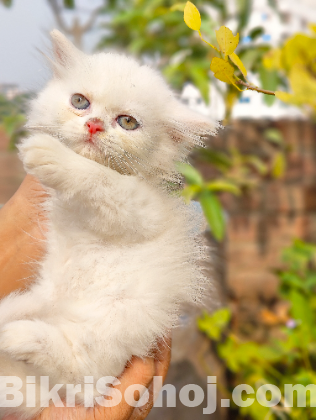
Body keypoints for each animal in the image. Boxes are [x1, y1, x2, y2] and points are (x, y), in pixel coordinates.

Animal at [0, 30, 217, 420]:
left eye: (127, 122)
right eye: (80, 102)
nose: (94, 125)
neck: (78, 212)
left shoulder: (141, 209)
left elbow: (101, 180)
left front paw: (49, 155)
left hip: (116, 323)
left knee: (84, 377)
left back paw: (18, 336)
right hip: (46, 297)